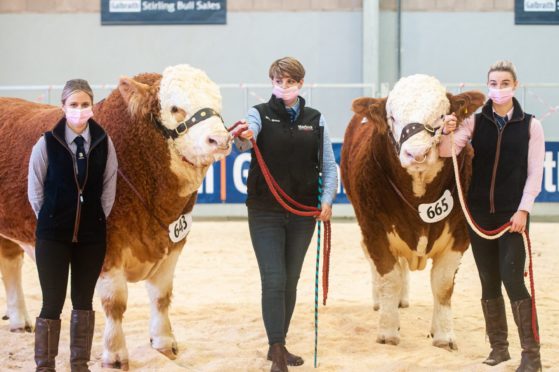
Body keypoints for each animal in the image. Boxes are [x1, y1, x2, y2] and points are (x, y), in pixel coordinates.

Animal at [0, 64, 232, 370]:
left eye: (217, 104)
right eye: (174, 108)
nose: (220, 139)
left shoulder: (173, 243)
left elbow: (161, 296)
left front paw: (164, 343)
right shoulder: (109, 248)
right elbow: (115, 304)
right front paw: (115, 354)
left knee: (10, 264)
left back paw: (19, 321)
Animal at [340, 75, 484, 348]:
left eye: (442, 116)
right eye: (392, 117)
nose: (416, 153)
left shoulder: (460, 234)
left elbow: (442, 283)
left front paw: (444, 335)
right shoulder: (374, 229)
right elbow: (389, 277)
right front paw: (388, 331)